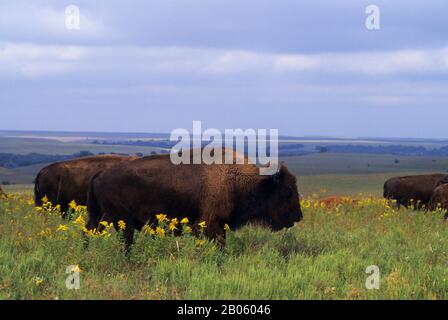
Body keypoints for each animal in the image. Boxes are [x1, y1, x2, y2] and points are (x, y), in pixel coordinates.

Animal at [86, 150, 302, 250]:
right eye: (287, 190)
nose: (299, 216)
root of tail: (100, 174)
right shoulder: (211, 225)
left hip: (99, 217)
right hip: (122, 222)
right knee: (125, 241)